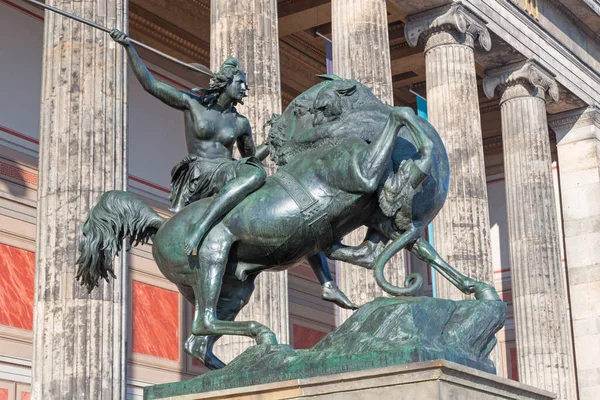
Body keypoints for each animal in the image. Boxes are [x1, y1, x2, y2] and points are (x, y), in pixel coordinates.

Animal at [77, 75, 500, 368]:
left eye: (300, 108)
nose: (273, 131)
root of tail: (160, 224)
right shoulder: (362, 175)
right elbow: (402, 118)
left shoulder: (380, 221)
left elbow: (423, 251)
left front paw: (479, 290)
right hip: (212, 257)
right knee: (202, 323)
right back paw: (267, 341)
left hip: (234, 287)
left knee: (198, 339)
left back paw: (247, 363)